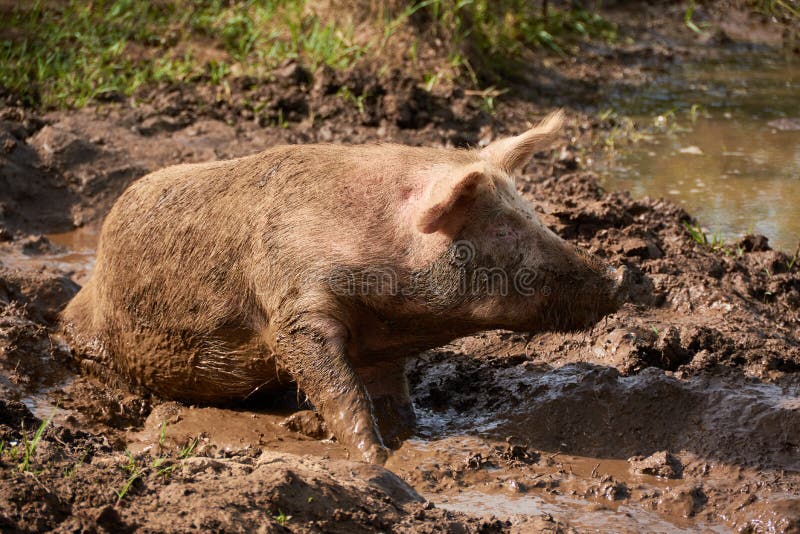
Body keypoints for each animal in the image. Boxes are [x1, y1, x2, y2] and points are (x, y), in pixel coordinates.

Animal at [60, 110, 626, 464]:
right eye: (505, 229)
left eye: (533, 214)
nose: (623, 277)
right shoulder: (295, 308)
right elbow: (340, 389)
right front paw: (374, 462)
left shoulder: (381, 343)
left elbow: (394, 400)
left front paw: (399, 442)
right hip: (88, 336)